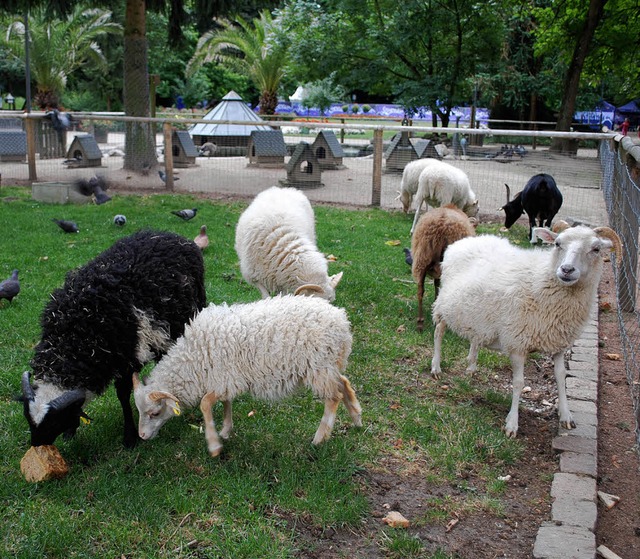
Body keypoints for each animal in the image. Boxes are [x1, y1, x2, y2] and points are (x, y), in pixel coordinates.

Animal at [20, 230, 205, 448]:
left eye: (54, 422)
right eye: (27, 417)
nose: (36, 444)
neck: (72, 340)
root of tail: (168, 234)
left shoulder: (126, 358)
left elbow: (123, 396)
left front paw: (129, 437)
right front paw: (70, 432)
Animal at [132, 296, 362, 458]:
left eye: (154, 413)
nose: (141, 436)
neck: (194, 359)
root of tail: (342, 321)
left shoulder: (224, 379)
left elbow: (205, 404)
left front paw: (214, 445)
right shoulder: (225, 380)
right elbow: (225, 402)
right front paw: (226, 430)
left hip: (318, 365)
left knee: (333, 398)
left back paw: (320, 437)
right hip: (327, 365)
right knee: (344, 383)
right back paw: (357, 417)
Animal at [430, 225, 620, 440]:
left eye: (596, 249)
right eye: (557, 244)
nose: (567, 270)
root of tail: (464, 241)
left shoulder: (559, 342)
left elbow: (561, 376)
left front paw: (566, 415)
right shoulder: (517, 343)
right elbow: (519, 383)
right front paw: (512, 424)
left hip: (477, 314)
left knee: (475, 336)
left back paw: (471, 366)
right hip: (444, 305)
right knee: (438, 331)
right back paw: (436, 367)